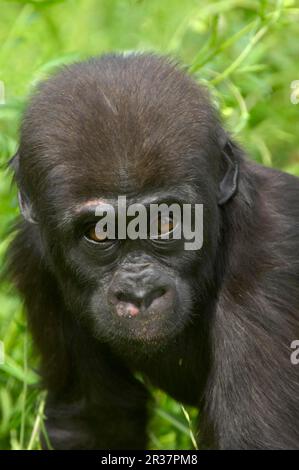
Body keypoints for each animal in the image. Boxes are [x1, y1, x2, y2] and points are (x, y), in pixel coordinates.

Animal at [7, 53, 299, 450]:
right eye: (98, 232)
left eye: (164, 222)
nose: (139, 293)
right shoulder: (34, 260)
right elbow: (93, 417)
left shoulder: (270, 266)